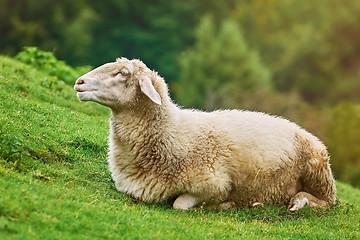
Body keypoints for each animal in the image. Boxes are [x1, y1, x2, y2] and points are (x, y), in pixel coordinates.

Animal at [74, 57, 336, 211]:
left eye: (123, 73)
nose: (79, 82)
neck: (173, 132)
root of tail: (302, 129)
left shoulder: (213, 184)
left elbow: (180, 204)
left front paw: (224, 205)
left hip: (318, 172)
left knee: (326, 202)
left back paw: (297, 202)